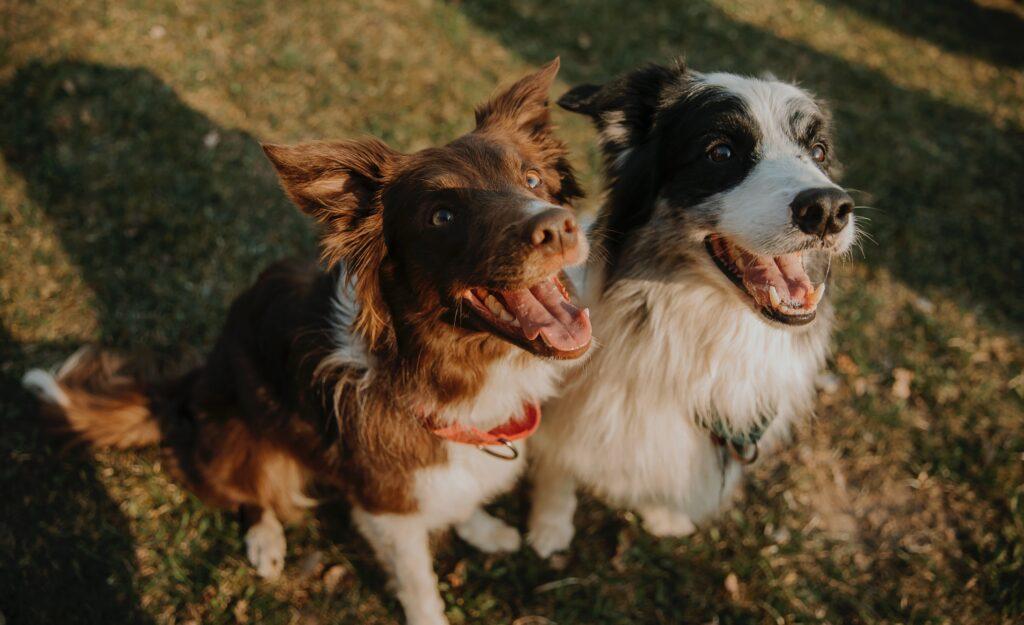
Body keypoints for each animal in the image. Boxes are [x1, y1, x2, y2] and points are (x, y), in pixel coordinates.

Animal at [528, 61, 856, 549]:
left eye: (818, 152)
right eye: (720, 152)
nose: (830, 209)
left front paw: (663, 514)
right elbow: (559, 462)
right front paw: (549, 526)